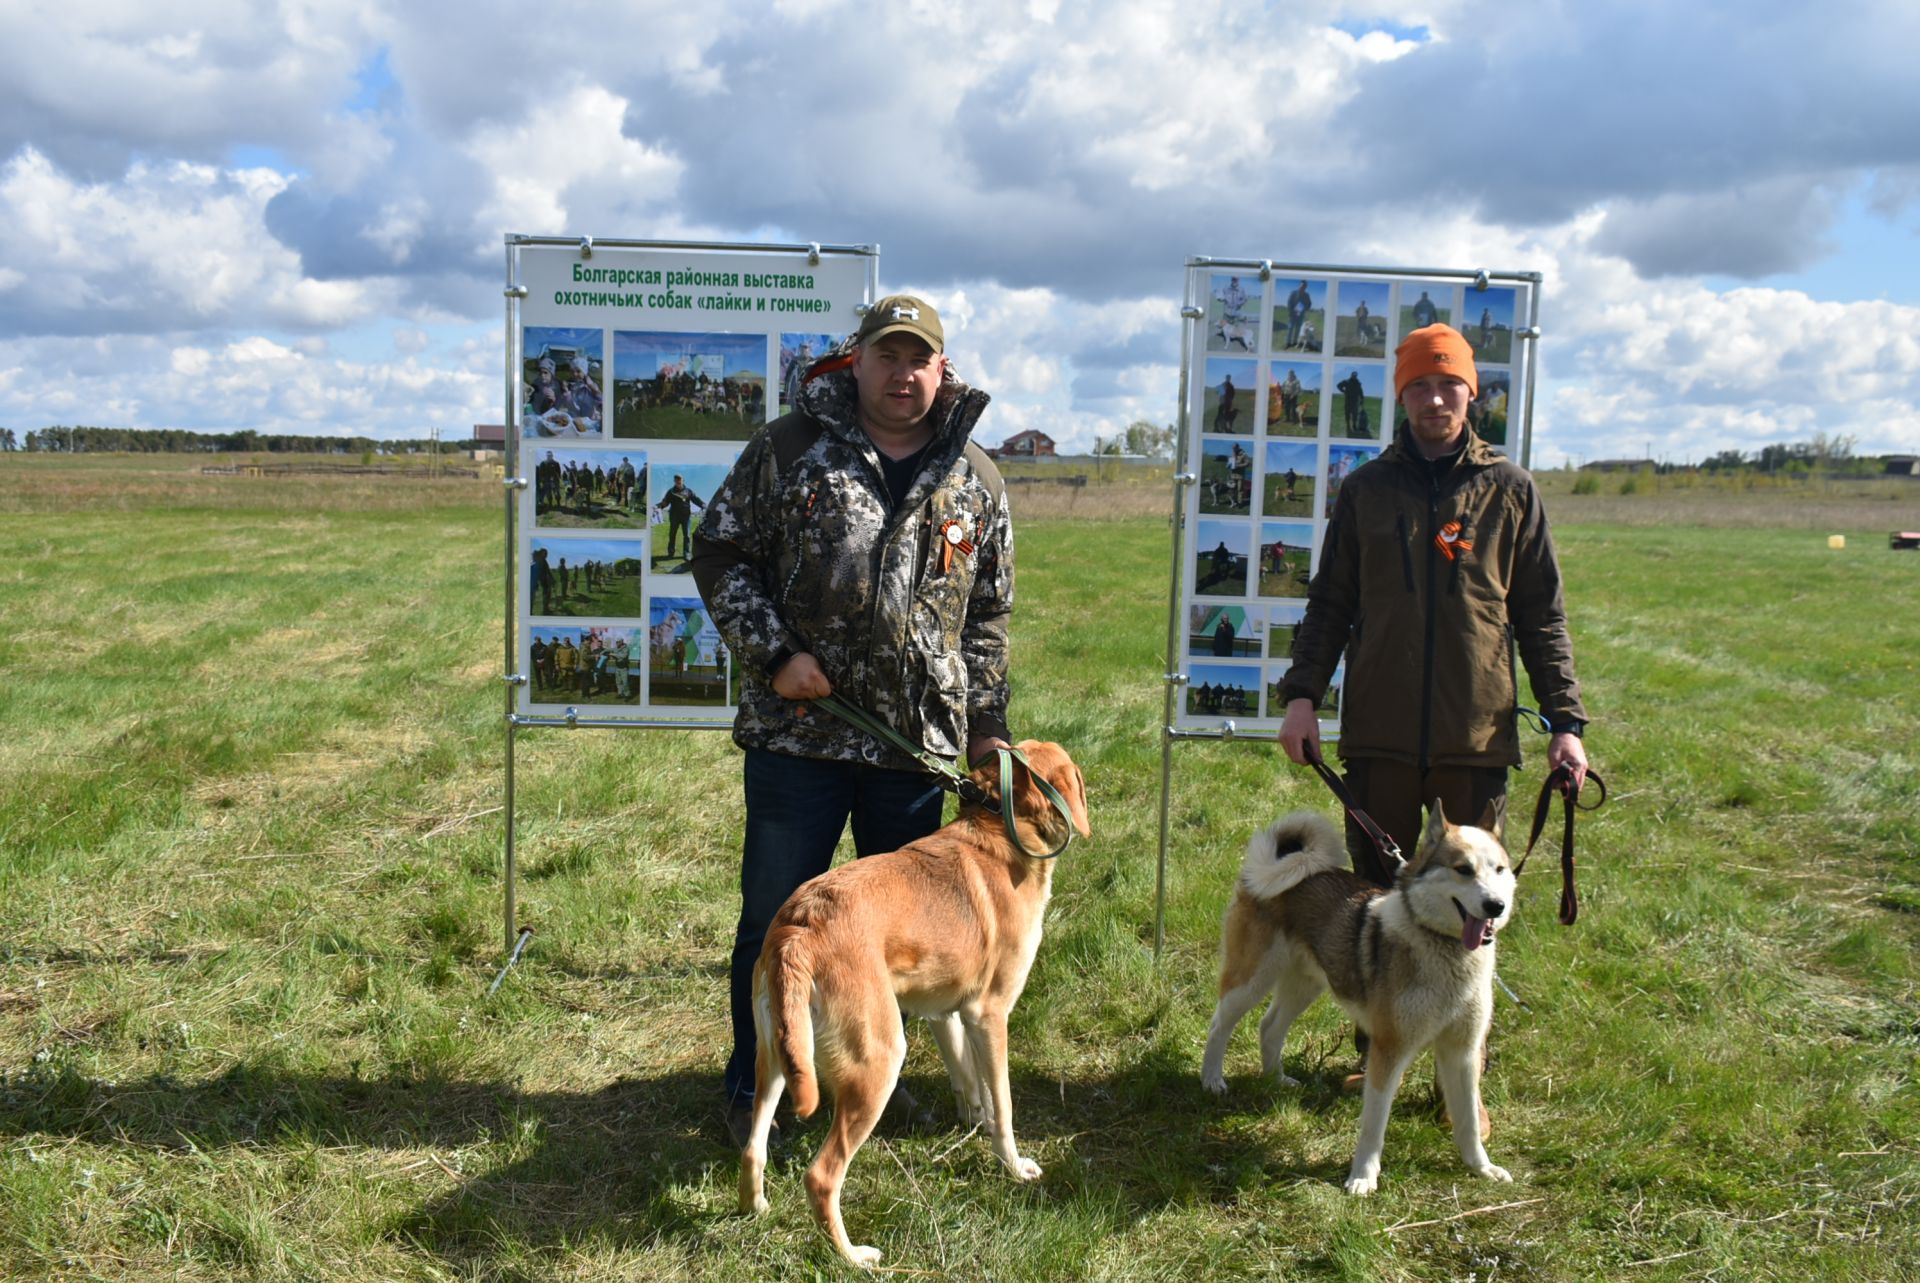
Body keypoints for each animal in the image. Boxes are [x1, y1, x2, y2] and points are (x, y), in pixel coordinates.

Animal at [737, 741, 1090, 1259]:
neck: (1000, 827)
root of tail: (800, 930)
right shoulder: (990, 1015)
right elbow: (1003, 1104)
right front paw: (1011, 1164)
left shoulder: (946, 1012)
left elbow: (969, 1080)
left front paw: (972, 1122)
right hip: (879, 1060)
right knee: (821, 1177)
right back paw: (853, 1258)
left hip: (777, 1057)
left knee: (753, 1146)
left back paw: (755, 1209)